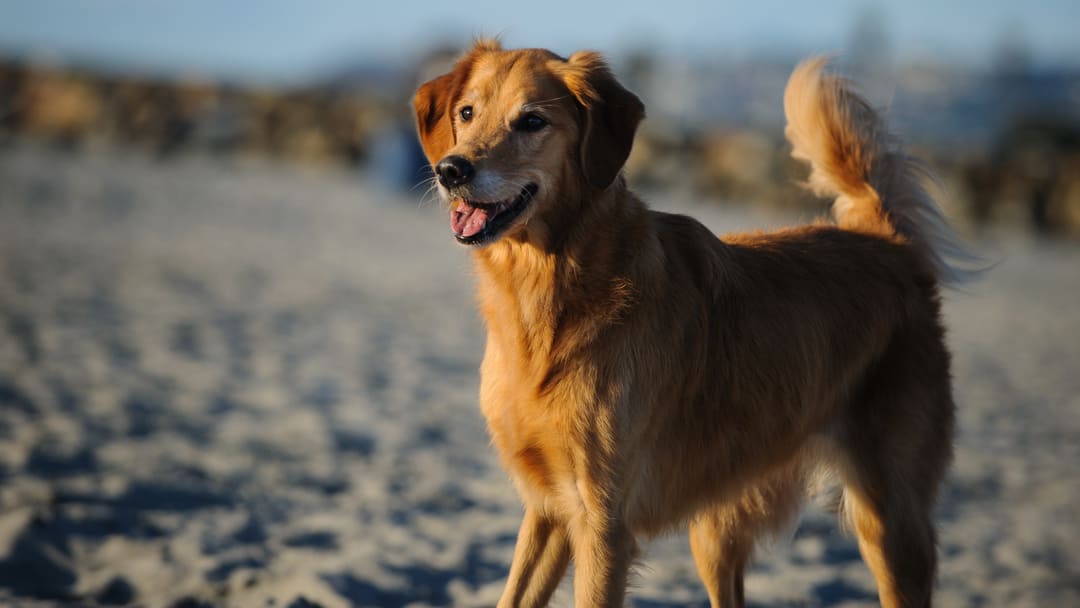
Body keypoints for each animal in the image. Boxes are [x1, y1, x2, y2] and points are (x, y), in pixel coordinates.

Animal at [410, 39, 972, 608]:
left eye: (531, 121)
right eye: (467, 113)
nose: (451, 170)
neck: (551, 288)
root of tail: (886, 240)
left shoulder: (602, 524)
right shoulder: (547, 509)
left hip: (889, 521)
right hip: (717, 530)